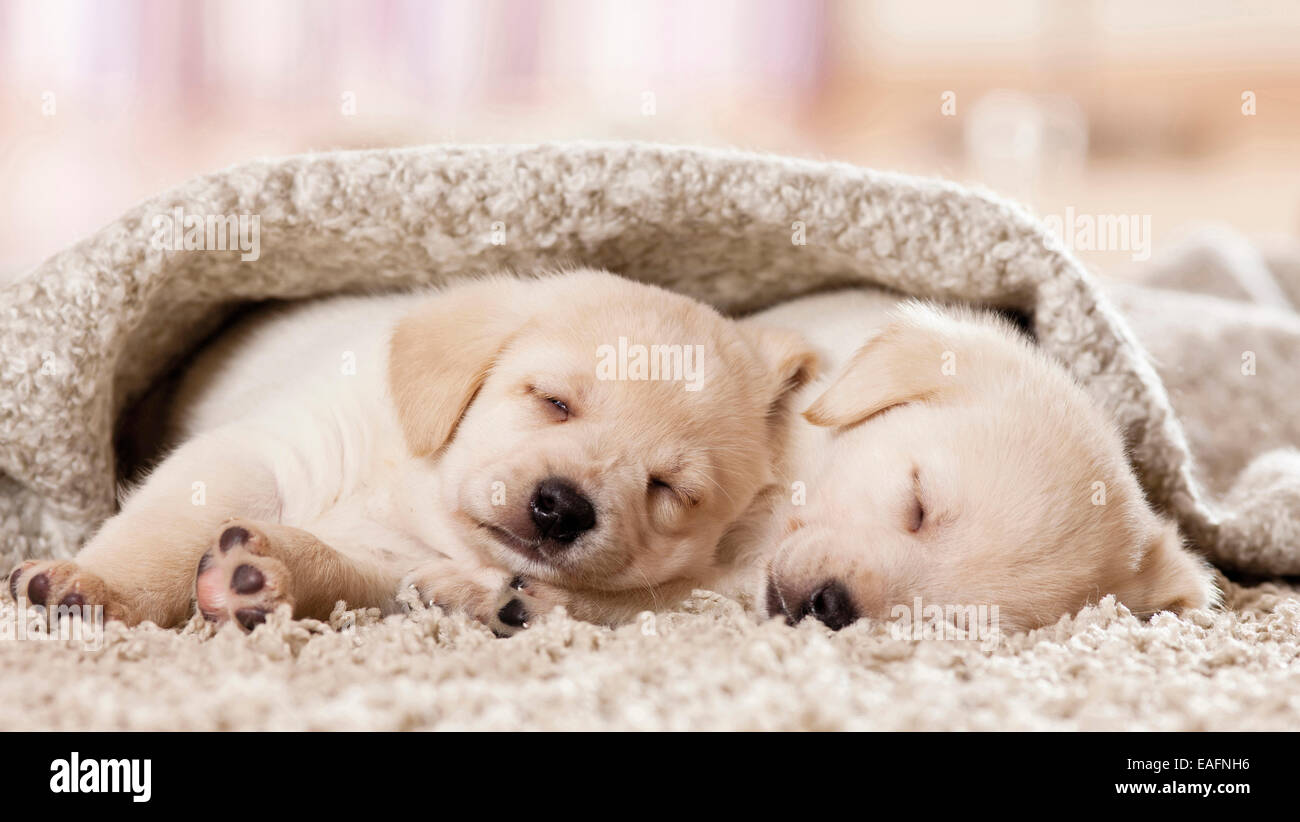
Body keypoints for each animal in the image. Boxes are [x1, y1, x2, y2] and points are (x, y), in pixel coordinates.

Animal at [10, 269, 816, 634]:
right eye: (553, 401)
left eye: (670, 489)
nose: (561, 509)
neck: (410, 488)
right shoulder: (262, 452)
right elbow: (165, 533)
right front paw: (97, 585)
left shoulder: (387, 564)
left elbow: (335, 569)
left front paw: (262, 574)